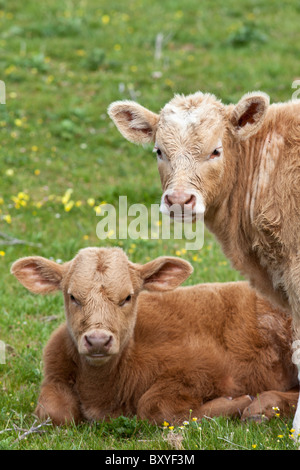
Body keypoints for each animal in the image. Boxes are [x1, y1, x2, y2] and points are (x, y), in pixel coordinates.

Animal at [11, 250, 298, 426]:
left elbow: (155, 408)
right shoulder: (54, 373)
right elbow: (54, 412)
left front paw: (235, 403)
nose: (98, 340)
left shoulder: (203, 370)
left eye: (127, 297)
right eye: (73, 296)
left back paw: (262, 407)